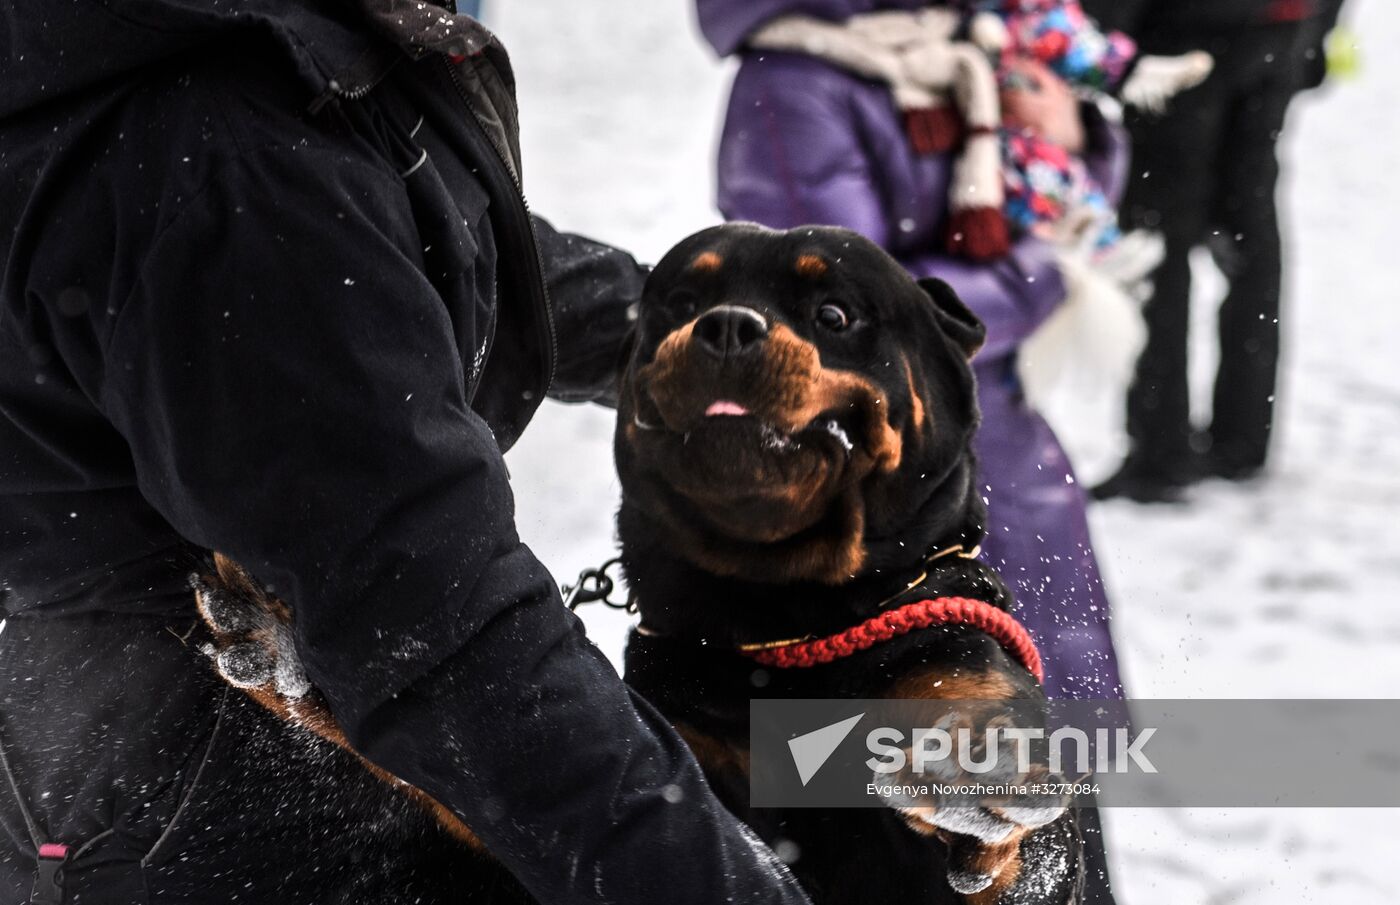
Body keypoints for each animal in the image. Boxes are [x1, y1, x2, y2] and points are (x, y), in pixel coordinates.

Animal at [191, 225, 1080, 905]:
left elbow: (965, 700)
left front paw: (976, 742)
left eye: (835, 312)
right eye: (680, 302)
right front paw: (296, 659)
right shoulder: (672, 788)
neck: (773, 629)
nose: (726, 325)